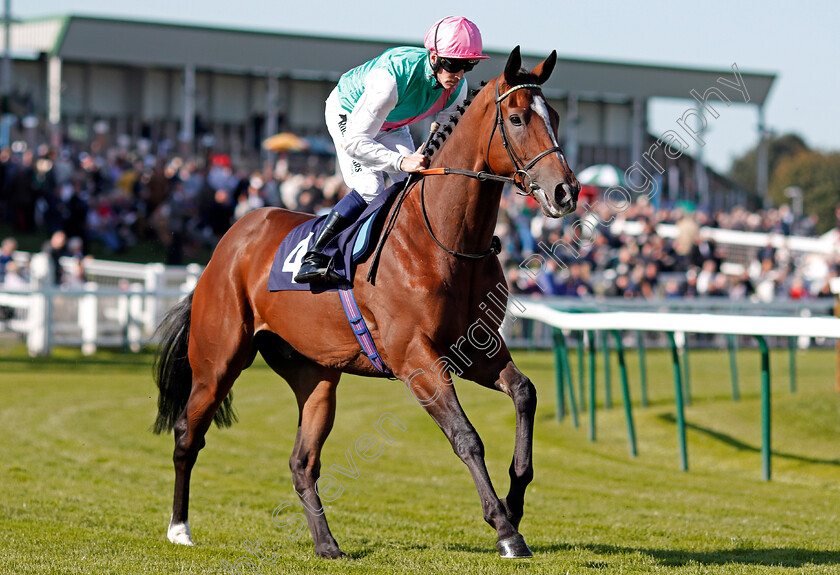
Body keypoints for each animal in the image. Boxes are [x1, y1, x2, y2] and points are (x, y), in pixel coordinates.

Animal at [154, 47, 580, 560]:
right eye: (517, 118)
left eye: (554, 116)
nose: (566, 191)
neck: (443, 240)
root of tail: (231, 241)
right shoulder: (416, 359)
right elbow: (467, 438)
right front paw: (505, 529)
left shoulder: (475, 348)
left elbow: (524, 392)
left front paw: (515, 502)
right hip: (218, 361)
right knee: (187, 435)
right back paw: (179, 529)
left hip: (315, 375)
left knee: (302, 462)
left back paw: (326, 544)